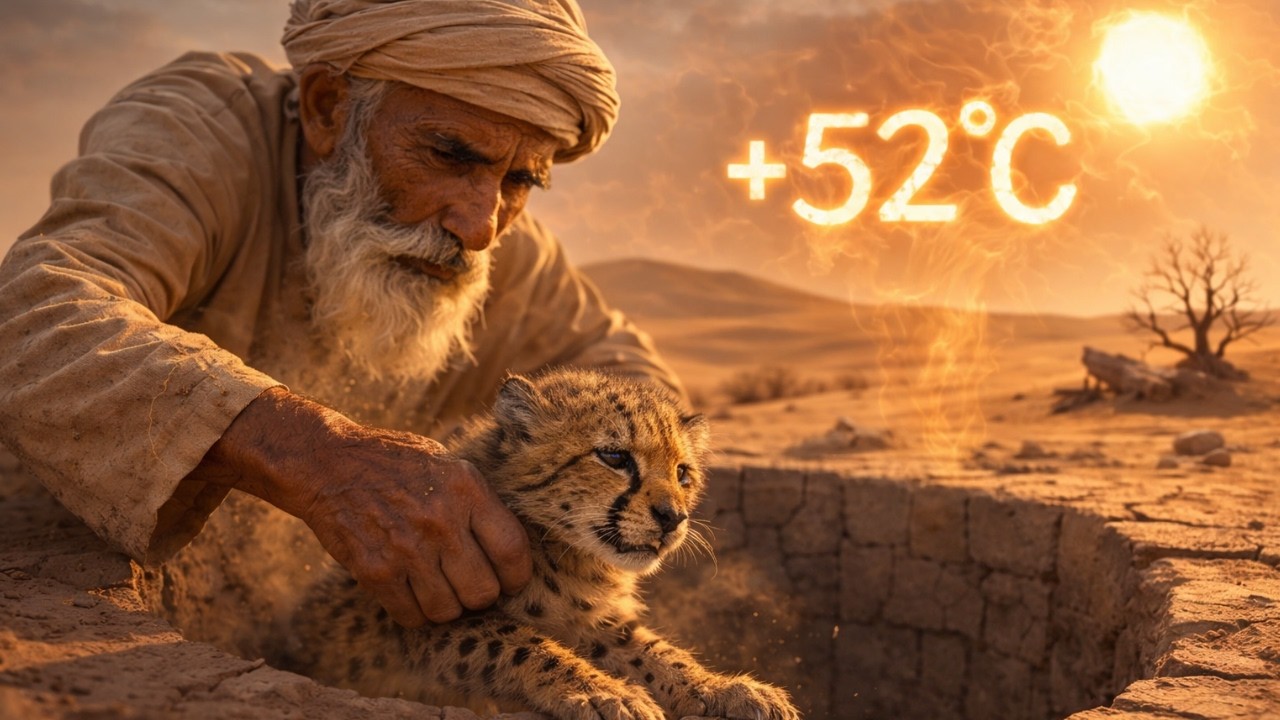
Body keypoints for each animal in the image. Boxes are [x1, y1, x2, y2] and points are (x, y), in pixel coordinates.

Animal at [288, 368, 800, 720]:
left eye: (682, 473)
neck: (567, 554)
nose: (673, 518)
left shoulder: (593, 620)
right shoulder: (427, 615)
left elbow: (654, 651)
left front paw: (724, 689)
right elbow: (524, 644)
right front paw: (604, 693)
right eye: (614, 456)